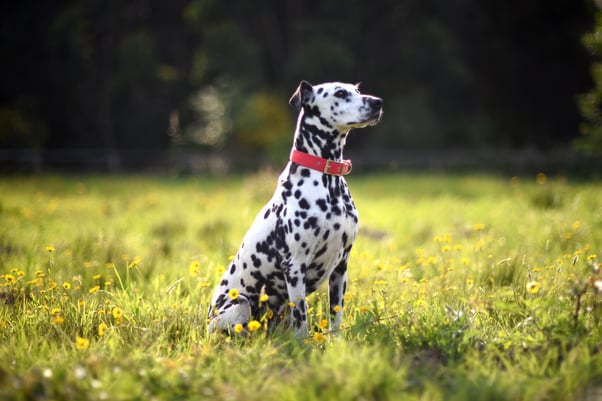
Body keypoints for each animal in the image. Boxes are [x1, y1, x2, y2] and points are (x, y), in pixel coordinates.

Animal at [209, 79, 382, 336]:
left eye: (358, 90)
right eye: (340, 93)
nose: (377, 102)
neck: (327, 180)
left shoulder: (341, 267)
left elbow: (336, 316)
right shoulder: (295, 267)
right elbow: (301, 320)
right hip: (240, 303)